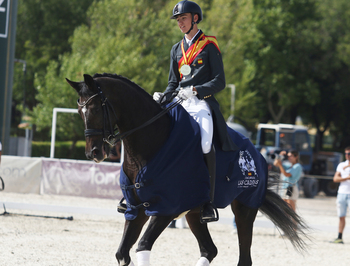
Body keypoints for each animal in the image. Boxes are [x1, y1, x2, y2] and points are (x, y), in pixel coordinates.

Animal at [67, 73, 308, 266]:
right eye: (79, 111)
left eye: (96, 109)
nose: (94, 153)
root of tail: (256, 153)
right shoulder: (136, 209)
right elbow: (122, 254)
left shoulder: (166, 209)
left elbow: (142, 247)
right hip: (194, 214)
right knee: (209, 250)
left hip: (245, 208)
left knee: (244, 257)